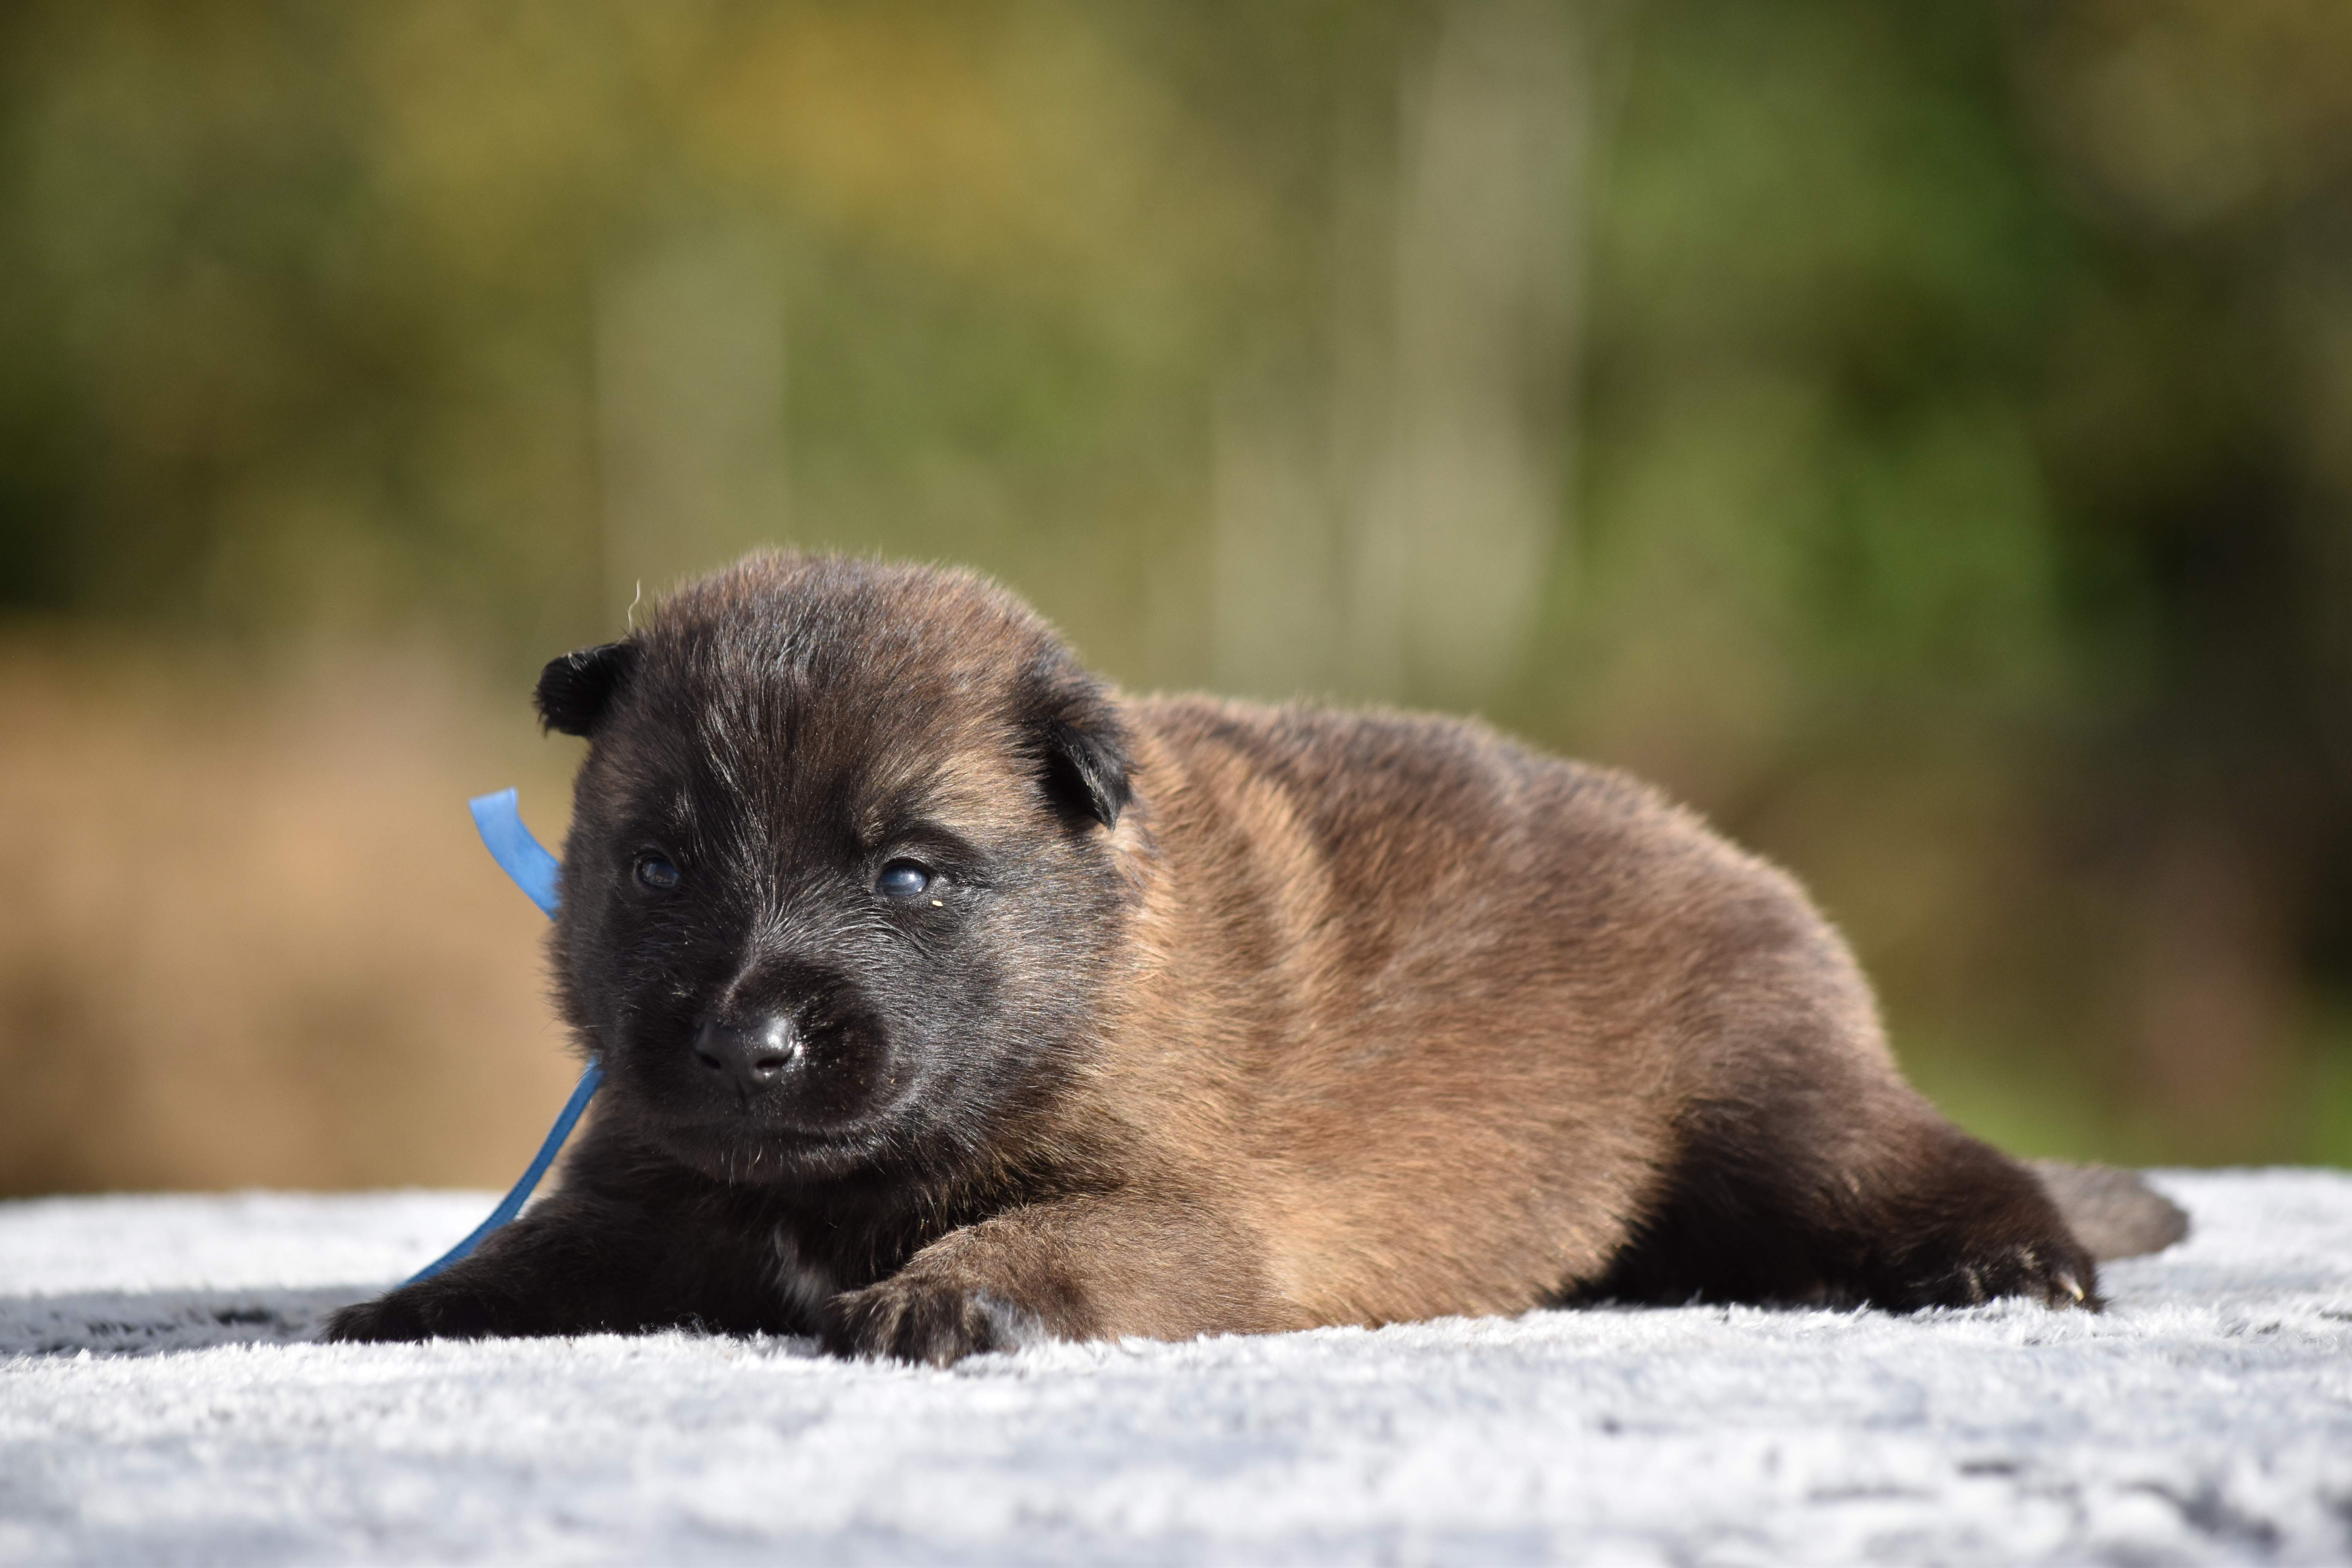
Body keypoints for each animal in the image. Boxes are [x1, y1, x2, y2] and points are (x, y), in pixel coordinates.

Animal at [322, 552, 2173, 1363]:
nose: (744, 1043)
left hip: (1775, 1098)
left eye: (911, 874)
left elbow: (1049, 1234)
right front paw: (423, 1297)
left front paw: (940, 1289)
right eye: (658, 864)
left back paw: (2007, 1261)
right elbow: (551, 1249)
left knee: (1933, 1163)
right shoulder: (650, 1182)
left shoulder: (1184, 1206)